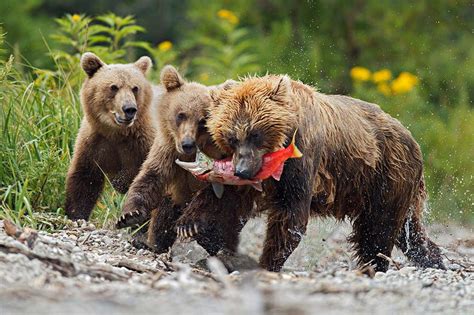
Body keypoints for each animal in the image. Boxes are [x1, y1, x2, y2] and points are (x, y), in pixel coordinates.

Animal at [64, 53, 154, 221]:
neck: (116, 133)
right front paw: (76, 215)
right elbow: (84, 180)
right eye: (113, 87)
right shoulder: (93, 143)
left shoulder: (143, 143)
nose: (129, 109)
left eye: (135, 88)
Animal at [116, 65, 246, 256]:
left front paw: (187, 225)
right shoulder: (167, 150)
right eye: (181, 115)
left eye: (202, 121)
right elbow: (150, 177)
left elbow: (214, 193)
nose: (187, 144)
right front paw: (129, 215)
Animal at [176, 74, 446, 274]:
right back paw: (435, 259)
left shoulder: (301, 159)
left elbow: (290, 213)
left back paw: (374, 265)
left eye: (255, 133)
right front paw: (191, 226)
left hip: (386, 173)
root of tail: (412, 137)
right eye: (232, 137)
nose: (242, 171)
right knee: (407, 230)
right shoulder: (249, 174)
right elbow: (224, 196)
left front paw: (267, 262)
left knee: (378, 228)